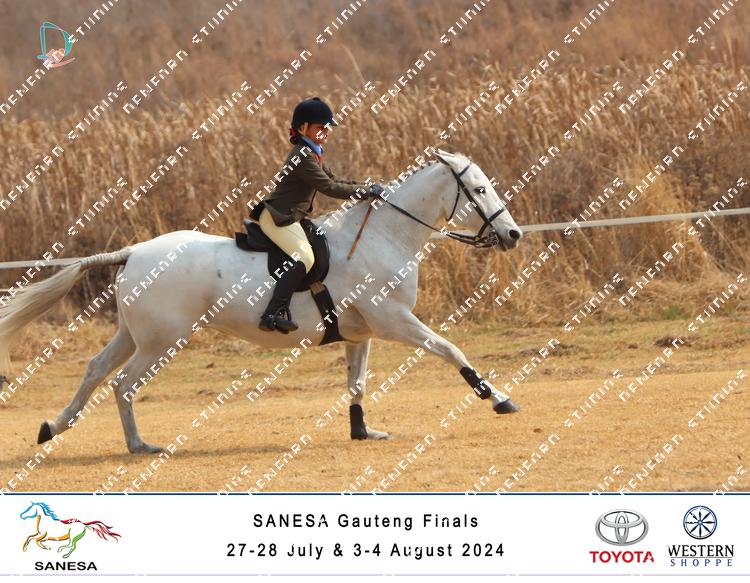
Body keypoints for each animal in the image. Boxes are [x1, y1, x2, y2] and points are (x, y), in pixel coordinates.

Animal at [0, 149, 523, 454]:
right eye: (479, 189)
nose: (513, 235)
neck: (383, 235)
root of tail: (133, 252)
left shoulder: (363, 332)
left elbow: (356, 384)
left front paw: (361, 432)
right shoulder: (396, 321)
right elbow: (451, 349)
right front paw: (497, 398)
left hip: (135, 335)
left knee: (94, 371)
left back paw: (54, 427)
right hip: (161, 342)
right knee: (123, 384)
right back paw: (140, 446)